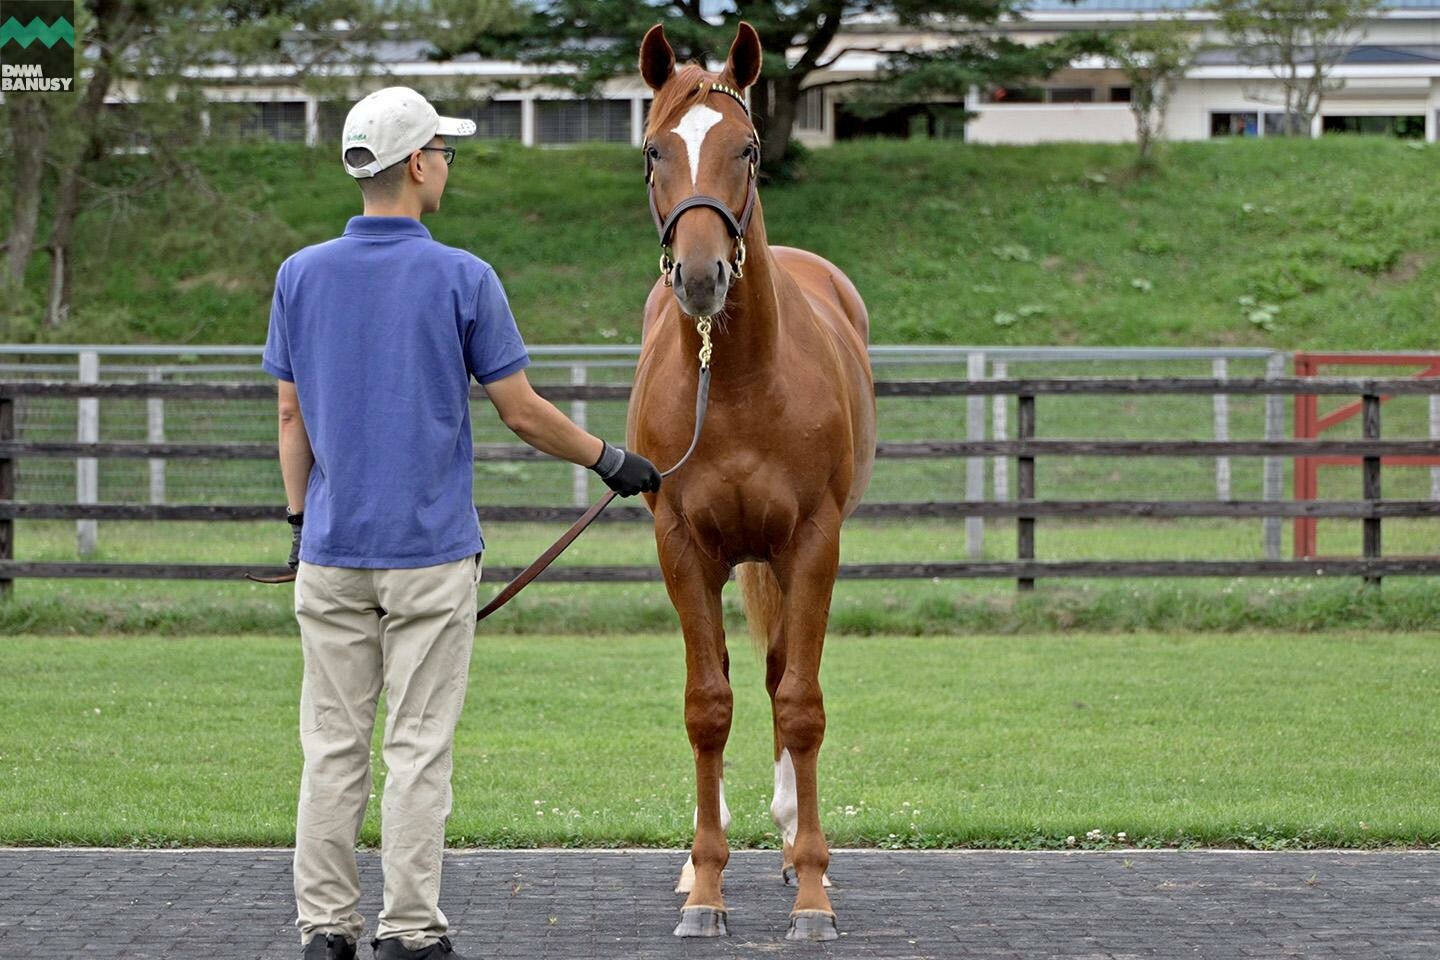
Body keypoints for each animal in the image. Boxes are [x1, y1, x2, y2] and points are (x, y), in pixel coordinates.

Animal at [624, 24, 869, 944]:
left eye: (749, 147)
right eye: (654, 149)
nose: (700, 277)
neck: (731, 383)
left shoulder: (814, 543)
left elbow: (799, 703)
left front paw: (813, 894)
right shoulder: (682, 547)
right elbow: (708, 705)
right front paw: (706, 888)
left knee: (774, 677)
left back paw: (794, 834)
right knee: (731, 678)